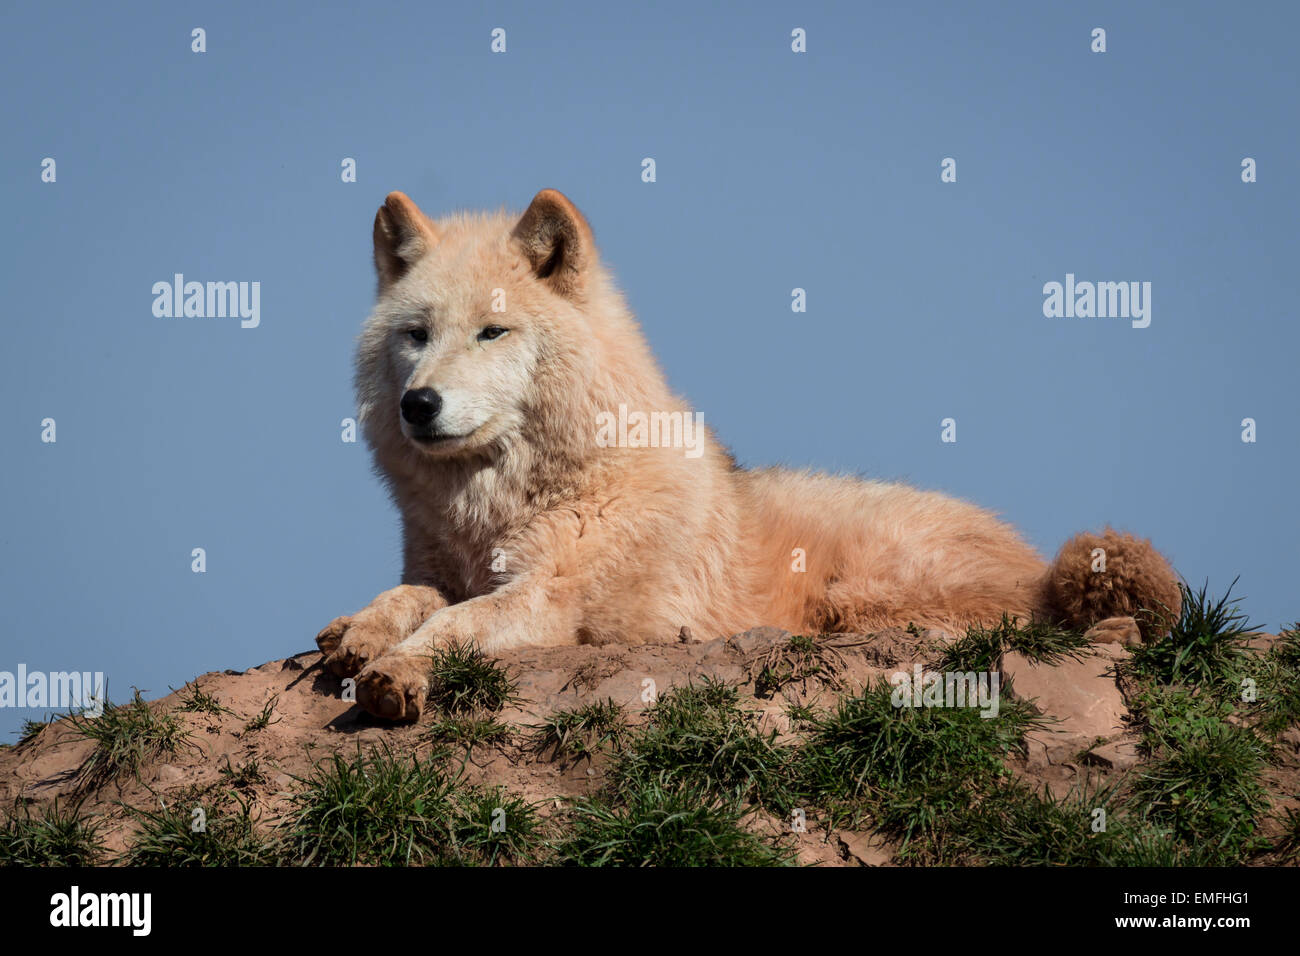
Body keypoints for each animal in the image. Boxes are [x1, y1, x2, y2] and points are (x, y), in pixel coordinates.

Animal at [319, 191, 1185, 723]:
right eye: (416, 335)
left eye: (492, 332)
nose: (418, 404)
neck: (502, 508)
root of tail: (1038, 564)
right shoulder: (440, 566)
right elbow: (412, 597)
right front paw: (359, 632)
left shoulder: (551, 602)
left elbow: (458, 622)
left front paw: (396, 672)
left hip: (865, 596)